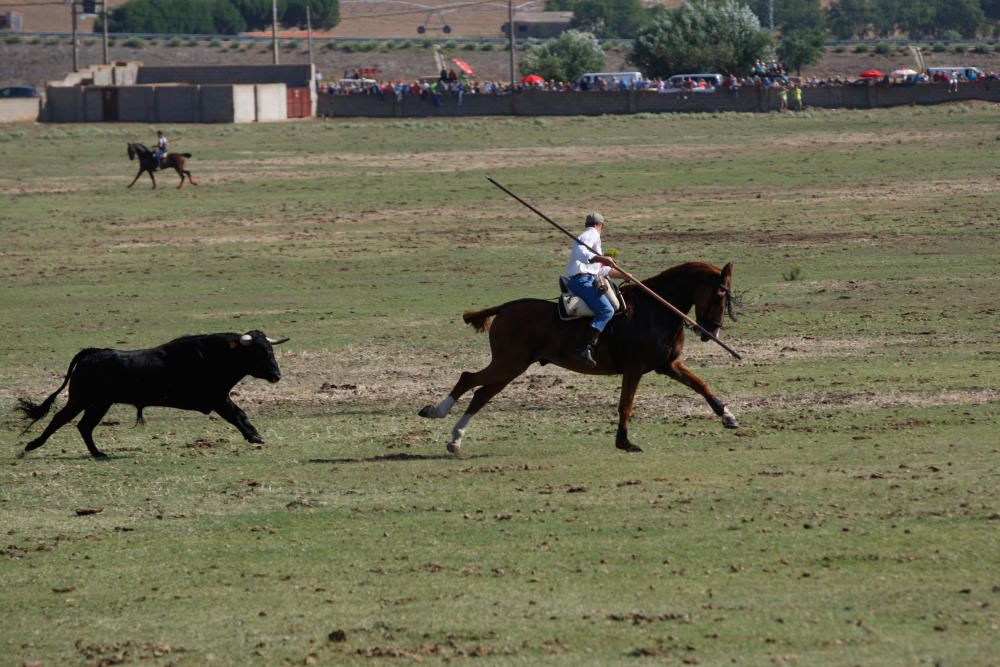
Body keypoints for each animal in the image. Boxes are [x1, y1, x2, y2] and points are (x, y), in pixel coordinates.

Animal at [17, 330, 288, 460]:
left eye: (270, 349)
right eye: (257, 352)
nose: (276, 375)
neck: (216, 356)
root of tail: (91, 353)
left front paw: (255, 436)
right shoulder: (218, 398)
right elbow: (238, 414)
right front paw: (255, 436)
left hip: (99, 403)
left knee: (84, 426)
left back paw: (98, 453)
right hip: (81, 399)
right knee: (59, 420)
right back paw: (31, 446)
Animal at [418, 260, 740, 454]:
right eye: (720, 294)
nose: (711, 331)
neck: (657, 309)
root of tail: (506, 307)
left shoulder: (667, 365)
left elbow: (700, 385)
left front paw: (728, 416)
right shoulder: (634, 368)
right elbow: (626, 404)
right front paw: (624, 442)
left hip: (511, 367)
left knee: (481, 394)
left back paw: (455, 439)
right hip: (509, 363)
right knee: (468, 379)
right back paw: (437, 412)